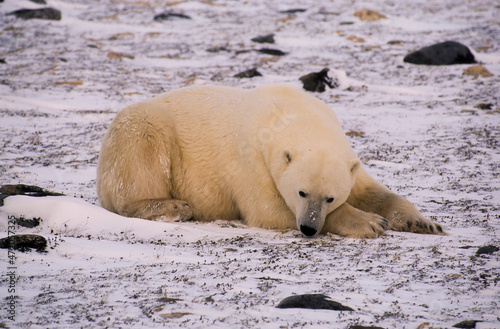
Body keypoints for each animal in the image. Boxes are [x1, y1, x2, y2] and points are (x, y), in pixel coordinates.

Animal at [97, 84, 446, 238]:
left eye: (330, 197)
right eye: (301, 192)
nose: (308, 228)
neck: (287, 111)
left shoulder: (348, 160)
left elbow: (371, 190)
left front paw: (421, 222)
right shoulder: (250, 159)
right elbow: (267, 209)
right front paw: (370, 222)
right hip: (143, 127)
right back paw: (174, 206)